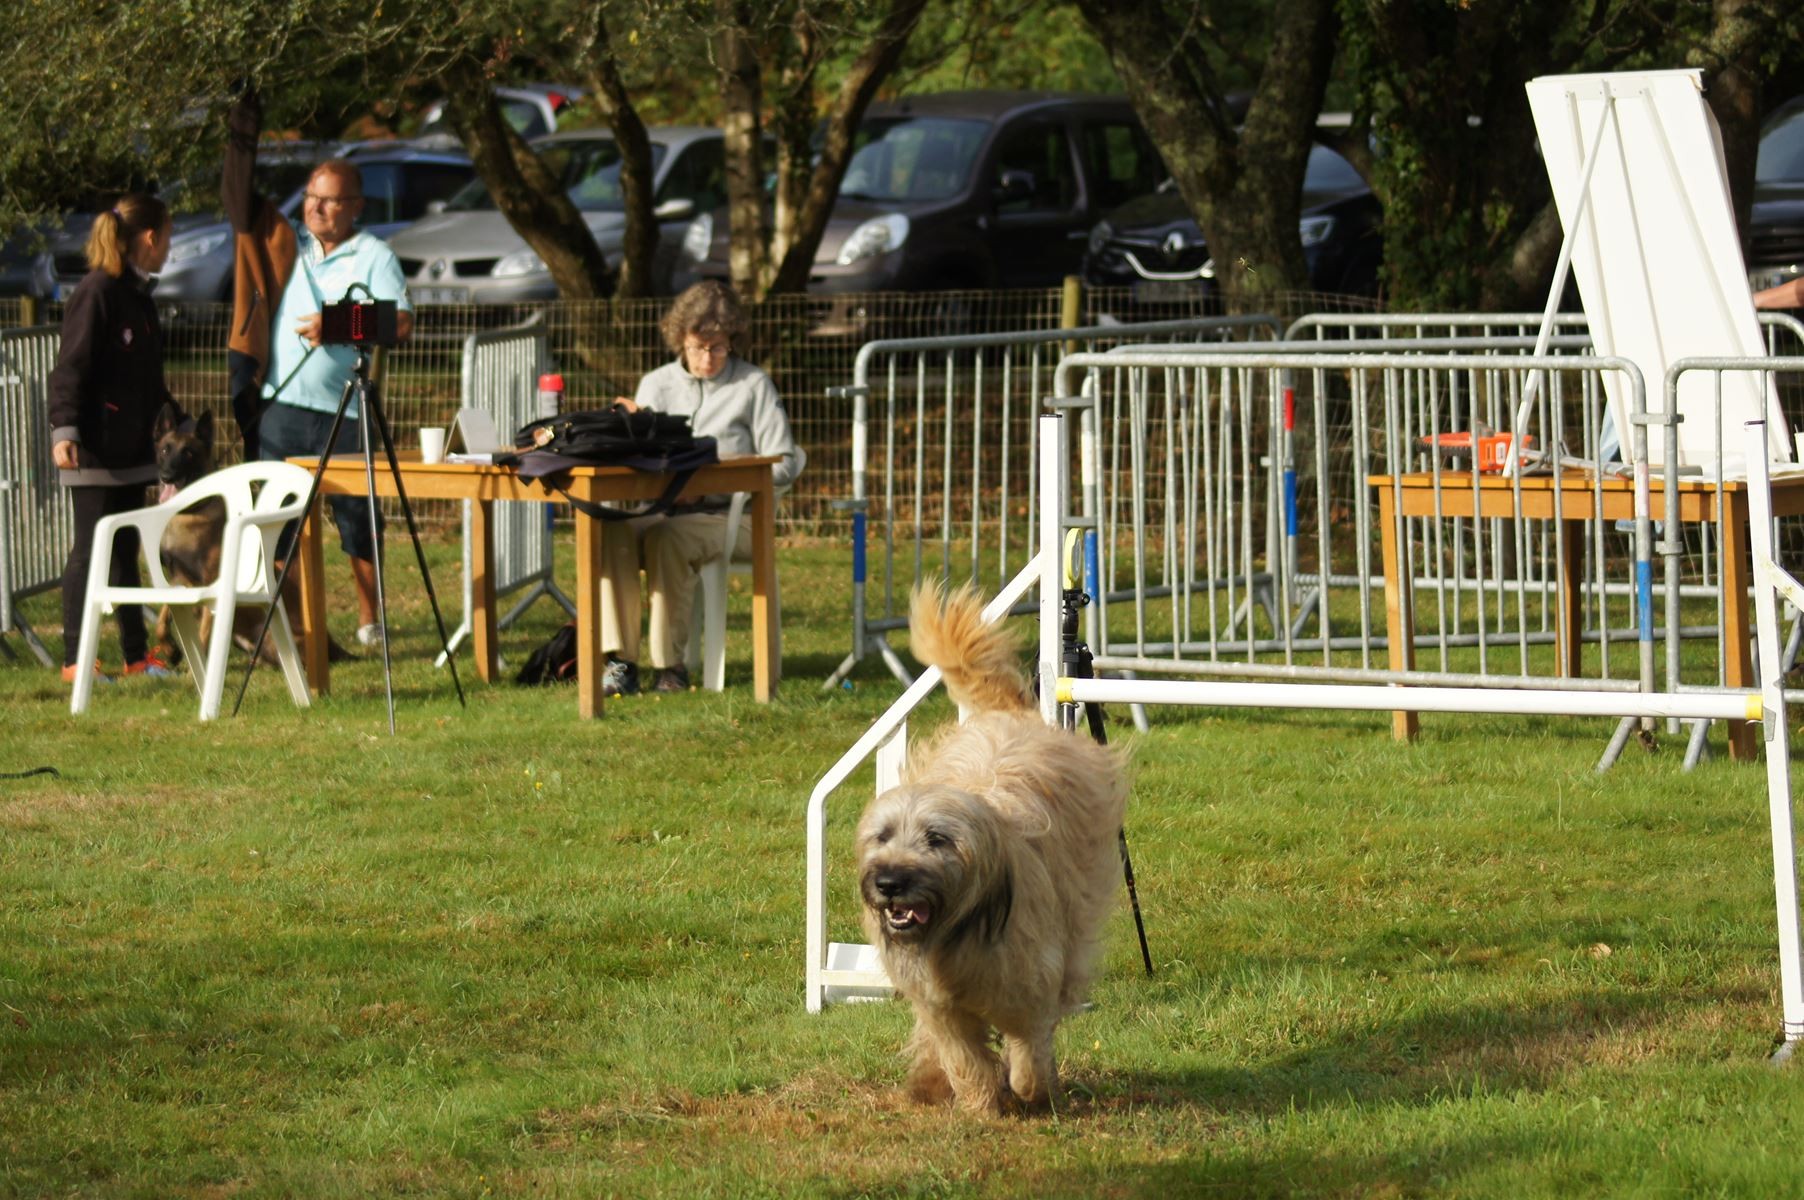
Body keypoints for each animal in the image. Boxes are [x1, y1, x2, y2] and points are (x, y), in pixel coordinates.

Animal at [855, 581, 1125, 1111]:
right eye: (883, 836)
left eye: (937, 839)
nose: (890, 883)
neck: (955, 928)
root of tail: (1008, 714)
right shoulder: (941, 1005)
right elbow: (962, 1054)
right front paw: (981, 1101)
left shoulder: (1030, 984)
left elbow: (1029, 1046)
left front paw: (1032, 1089)